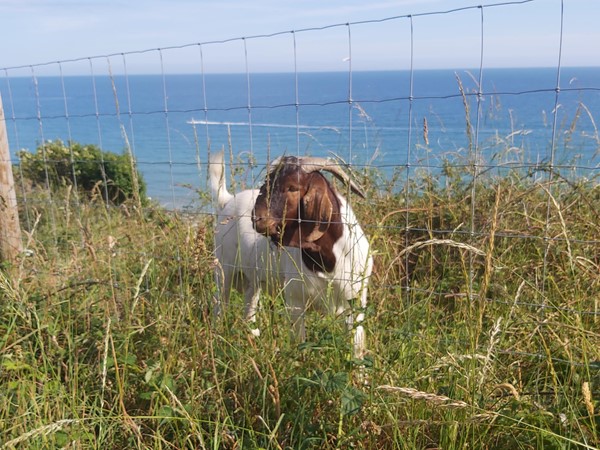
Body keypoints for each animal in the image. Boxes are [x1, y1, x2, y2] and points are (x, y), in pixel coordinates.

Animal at [210, 151, 370, 358]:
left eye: (292, 187)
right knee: (220, 304)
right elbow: (299, 343)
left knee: (249, 306)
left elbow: (356, 346)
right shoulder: (295, 301)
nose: (257, 218)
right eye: (267, 183)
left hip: (253, 280)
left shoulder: (356, 301)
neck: (328, 261)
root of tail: (228, 201)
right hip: (224, 270)